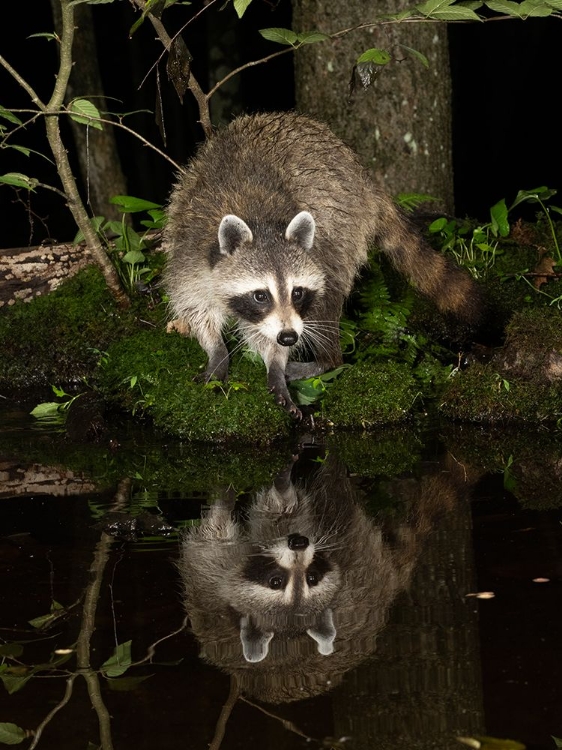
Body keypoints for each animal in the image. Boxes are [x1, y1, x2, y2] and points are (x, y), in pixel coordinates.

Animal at [163, 112, 482, 420]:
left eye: (297, 292)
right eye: (260, 295)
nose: (288, 337)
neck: (261, 223)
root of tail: (363, 174)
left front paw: (276, 362)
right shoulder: (190, 252)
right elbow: (194, 306)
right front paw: (217, 349)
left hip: (345, 226)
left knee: (329, 295)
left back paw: (327, 360)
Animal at [177, 452, 462, 704]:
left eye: (311, 578)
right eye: (276, 582)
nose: (299, 542)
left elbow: (273, 516)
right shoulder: (208, 591)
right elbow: (218, 534)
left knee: (335, 497)